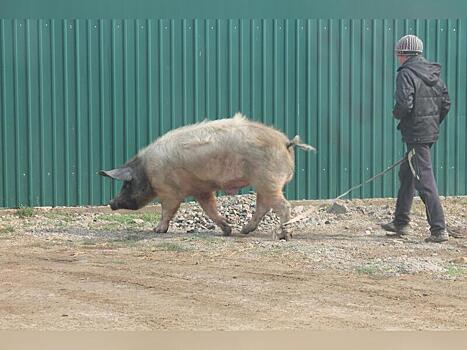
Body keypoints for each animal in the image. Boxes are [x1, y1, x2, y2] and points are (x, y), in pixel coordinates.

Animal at [100, 113, 316, 239]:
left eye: (127, 184)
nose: (111, 203)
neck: (146, 170)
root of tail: (286, 142)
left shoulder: (169, 191)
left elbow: (167, 210)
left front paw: (157, 230)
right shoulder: (201, 189)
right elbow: (209, 209)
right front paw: (227, 230)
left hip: (267, 180)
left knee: (283, 206)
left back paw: (284, 235)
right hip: (263, 183)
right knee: (263, 206)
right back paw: (243, 231)